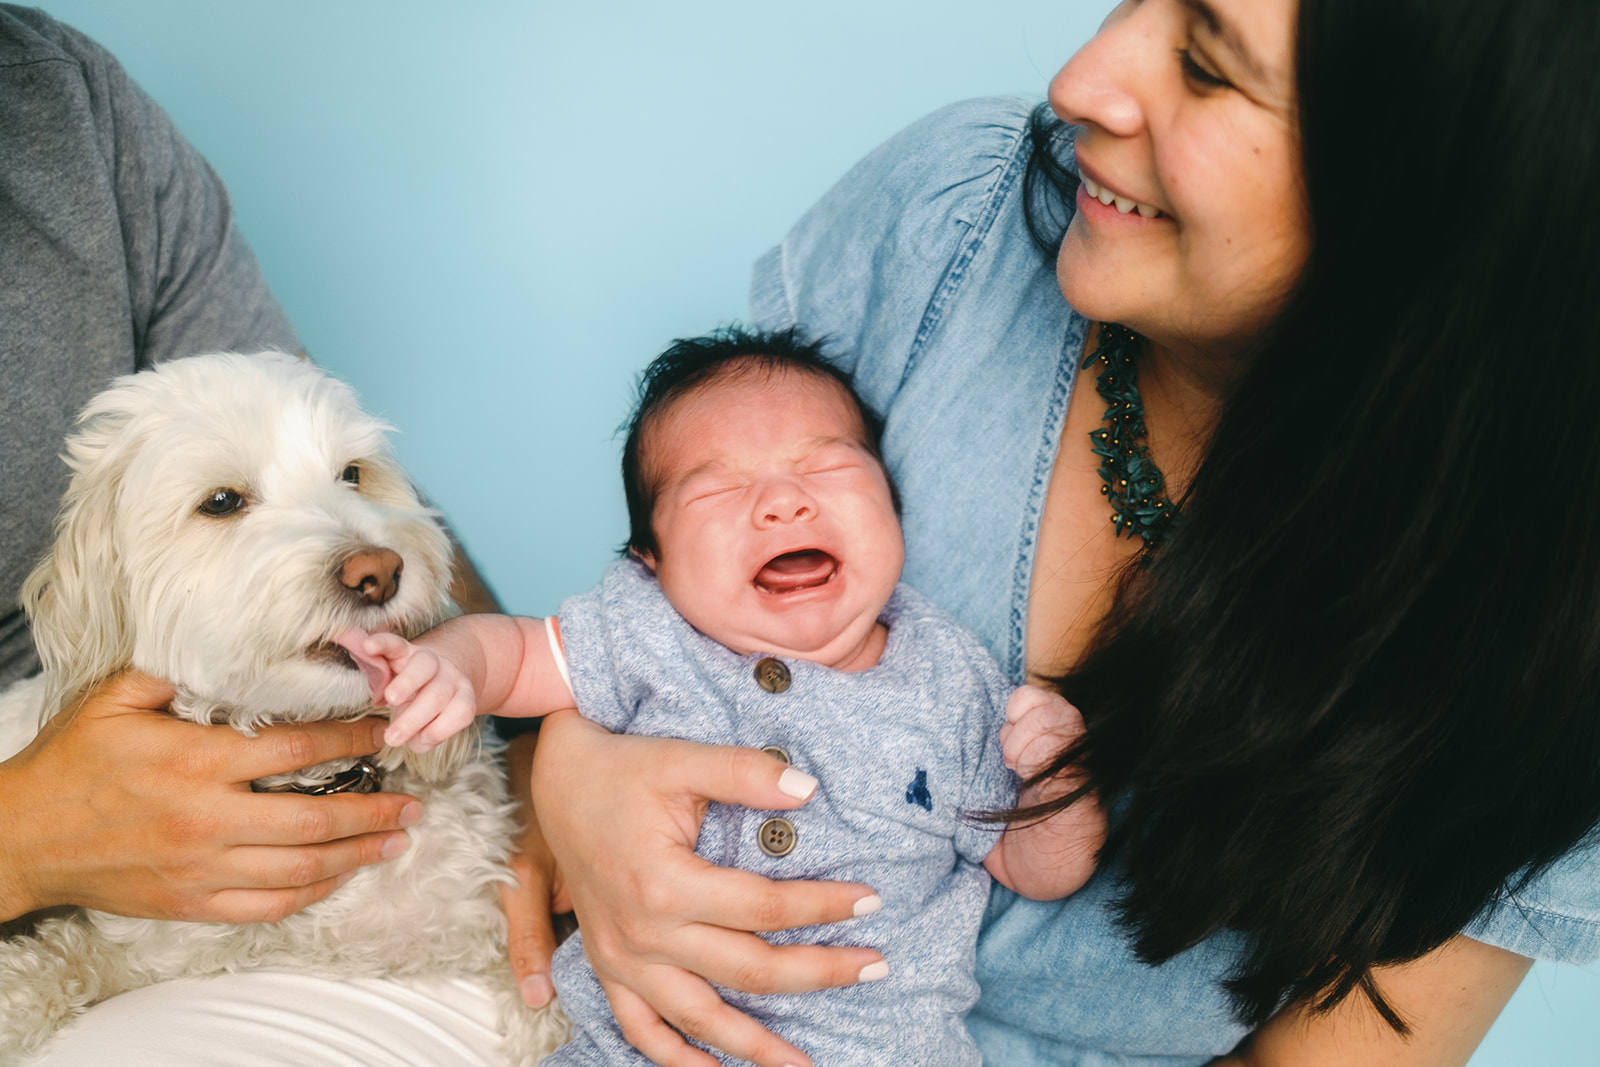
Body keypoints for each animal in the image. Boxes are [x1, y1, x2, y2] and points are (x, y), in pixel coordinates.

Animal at [0, 355, 569, 1062]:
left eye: (352, 474)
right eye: (221, 502)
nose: (377, 572)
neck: (314, 784)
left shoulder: (470, 918)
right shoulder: (148, 942)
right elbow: (57, 960)